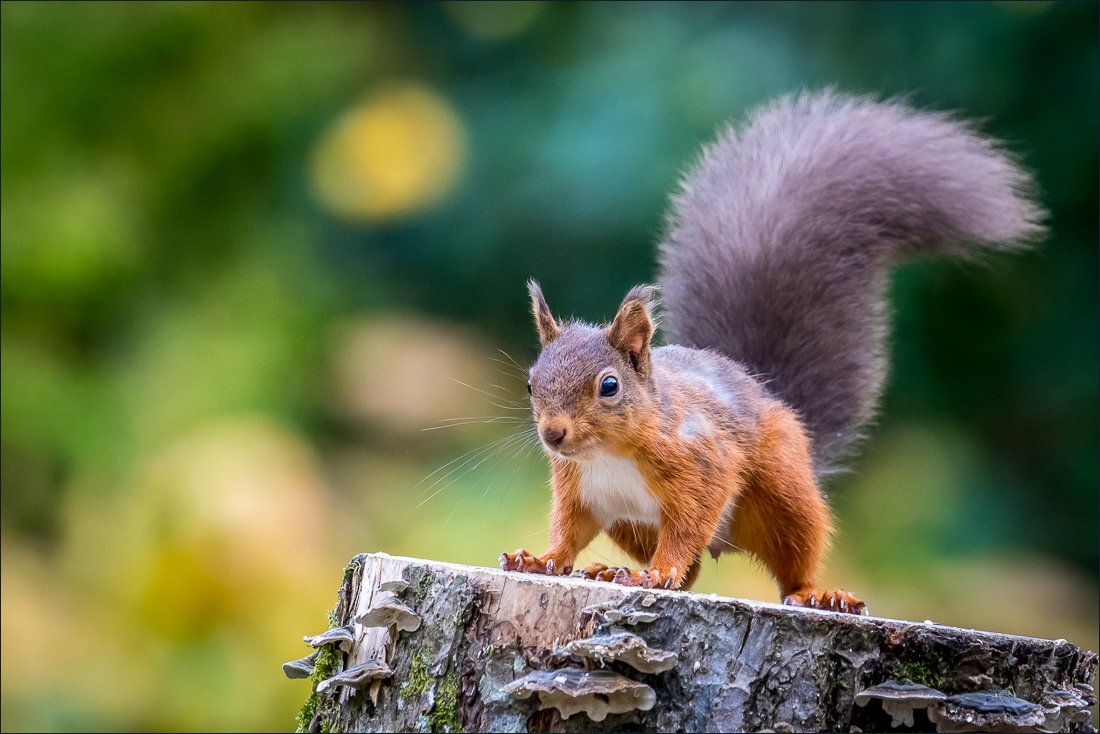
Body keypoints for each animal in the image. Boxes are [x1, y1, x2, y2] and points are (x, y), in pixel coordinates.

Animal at [499, 90, 1045, 614]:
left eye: (609, 386)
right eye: (530, 383)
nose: (552, 434)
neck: (609, 453)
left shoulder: (701, 463)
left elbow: (687, 525)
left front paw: (658, 570)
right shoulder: (579, 489)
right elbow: (569, 531)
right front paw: (541, 559)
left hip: (784, 493)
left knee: (785, 561)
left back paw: (817, 595)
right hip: (633, 525)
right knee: (693, 574)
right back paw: (611, 572)